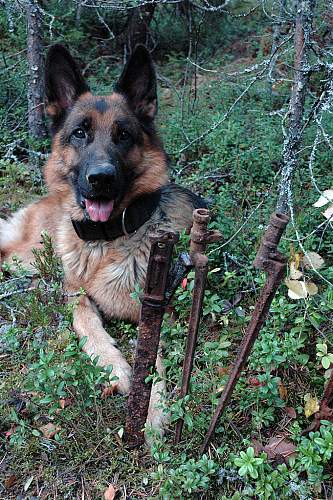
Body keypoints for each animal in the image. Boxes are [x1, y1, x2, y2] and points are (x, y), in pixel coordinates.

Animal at [0, 46, 204, 438]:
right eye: (80, 133)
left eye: (123, 135)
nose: (101, 179)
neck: (106, 240)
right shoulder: (73, 292)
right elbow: (87, 324)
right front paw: (117, 368)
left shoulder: (157, 312)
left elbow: (151, 362)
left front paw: (152, 415)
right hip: (25, 256)